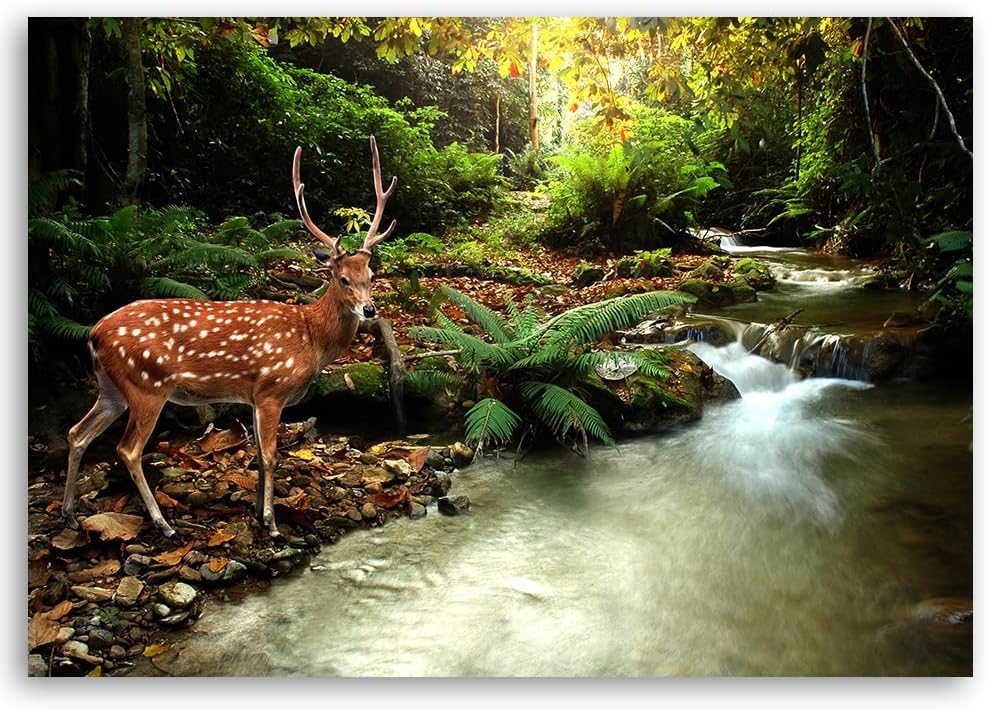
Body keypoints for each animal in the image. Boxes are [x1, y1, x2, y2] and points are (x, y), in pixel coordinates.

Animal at [62, 136, 397, 541]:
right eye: (342, 278)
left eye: (371, 275)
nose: (369, 310)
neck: (310, 337)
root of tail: (94, 334)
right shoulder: (272, 389)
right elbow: (270, 455)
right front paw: (273, 525)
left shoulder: (253, 395)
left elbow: (258, 455)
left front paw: (258, 514)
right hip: (147, 385)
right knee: (127, 449)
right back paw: (164, 525)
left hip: (112, 388)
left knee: (77, 432)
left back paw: (69, 514)